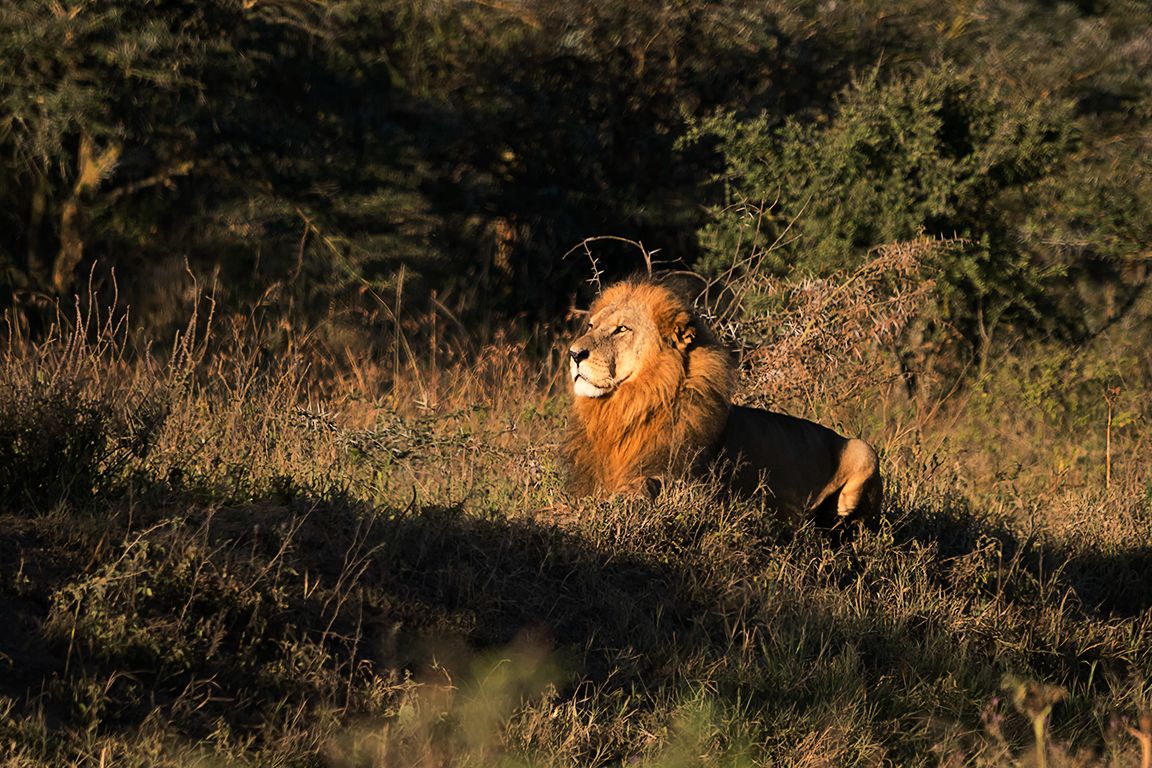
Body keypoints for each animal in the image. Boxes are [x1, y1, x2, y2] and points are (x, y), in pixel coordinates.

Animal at [564, 276, 882, 525]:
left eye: (622, 329)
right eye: (591, 326)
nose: (574, 353)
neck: (624, 408)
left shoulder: (677, 478)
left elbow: (633, 491)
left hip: (861, 446)